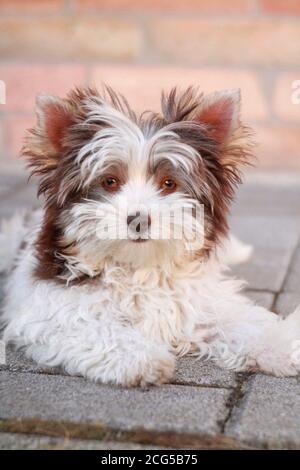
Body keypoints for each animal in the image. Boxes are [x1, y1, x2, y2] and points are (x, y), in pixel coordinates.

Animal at [0, 85, 300, 386]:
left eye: (169, 183)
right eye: (110, 182)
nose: (139, 220)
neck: (139, 268)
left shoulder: (200, 302)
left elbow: (240, 321)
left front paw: (282, 346)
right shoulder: (52, 308)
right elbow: (89, 326)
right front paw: (139, 358)